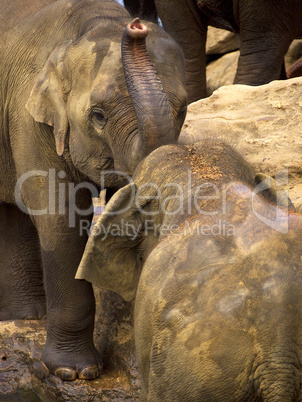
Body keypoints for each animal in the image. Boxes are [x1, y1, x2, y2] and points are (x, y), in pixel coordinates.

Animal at [0, 0, 186, 380]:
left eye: (184, 108)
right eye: (98, 116)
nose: (137, 26)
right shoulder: (29, 116)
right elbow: (60, 219)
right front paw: (73, 372)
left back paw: (26, 316)